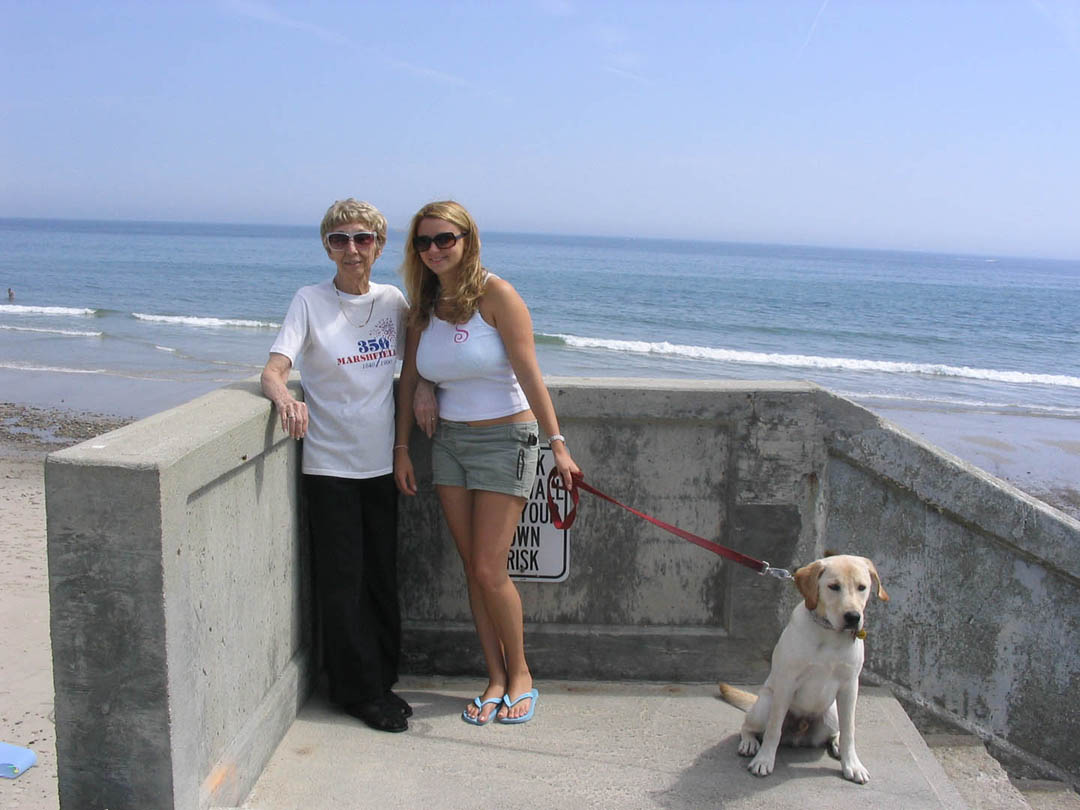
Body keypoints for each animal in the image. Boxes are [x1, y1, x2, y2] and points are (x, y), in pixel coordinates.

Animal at [717, 557, 885, 781]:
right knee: (748, 726)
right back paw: (749, 742)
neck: (829, 634)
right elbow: (774, 729)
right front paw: (764, 760)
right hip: (765, 704)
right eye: (833, 586)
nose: (853, 617)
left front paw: (852, 764)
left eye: (862, 587)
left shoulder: (850, 687)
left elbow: (849, 731)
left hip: (832, 715)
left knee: (838, 730)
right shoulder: (787, 683)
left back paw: (836, 744)